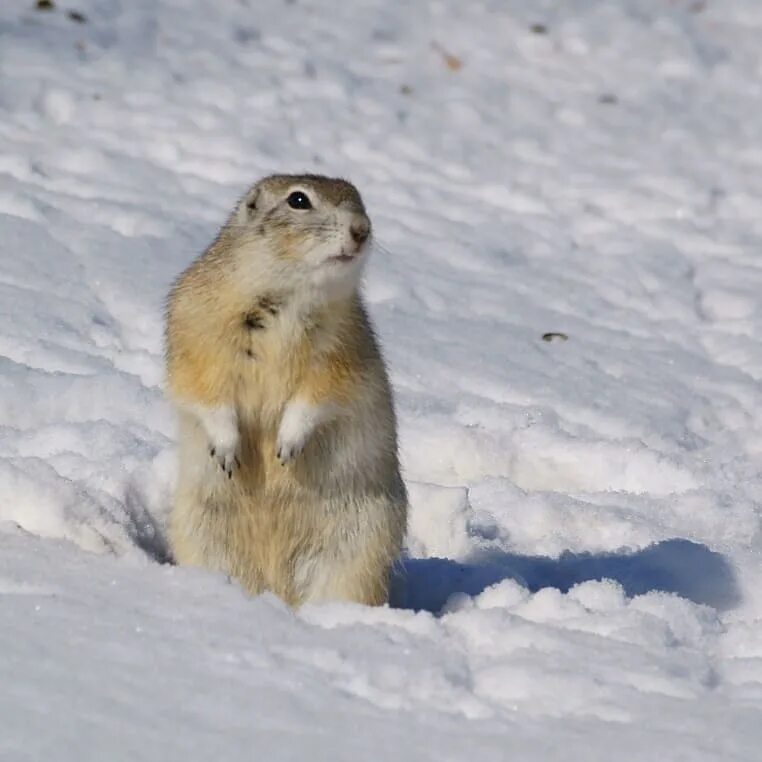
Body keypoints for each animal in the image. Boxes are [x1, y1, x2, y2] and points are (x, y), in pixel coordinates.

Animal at [164, 172, 406, 604]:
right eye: (298, 200)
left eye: (358, 197)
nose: (362, 229)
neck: (288, 295)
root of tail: (276, 589)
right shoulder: (196, 332)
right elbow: (204, 392)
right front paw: (228, 452)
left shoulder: (343, 351)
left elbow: (318, 397)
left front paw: (285, 448)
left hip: (360, 548)